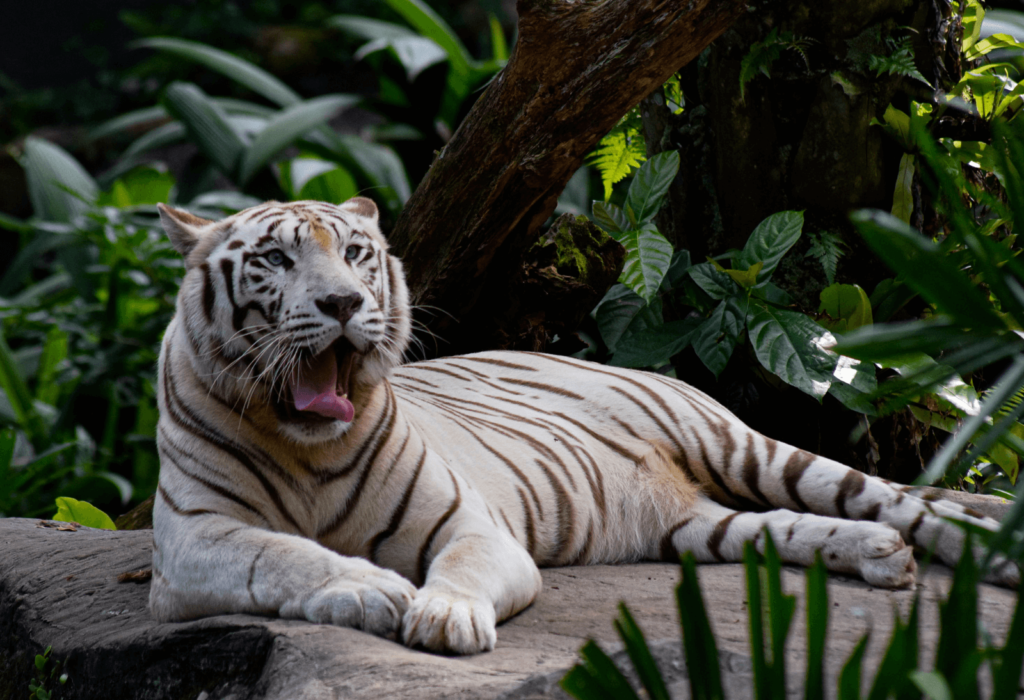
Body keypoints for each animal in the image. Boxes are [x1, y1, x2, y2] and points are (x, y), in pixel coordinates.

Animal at [149, 198, 1015, 654]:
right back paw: (880, 558)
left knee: (894, 498)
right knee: (782, 528)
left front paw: (443, 616)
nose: (342, 303)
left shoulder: (474, 527)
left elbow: (461, 569)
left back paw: (984, 554)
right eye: (278, 261)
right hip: (690, 526)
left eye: (358, 254)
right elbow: (283, 556)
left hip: (741, 445)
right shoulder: (193, 539)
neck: (308, 447)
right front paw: (368, 591)